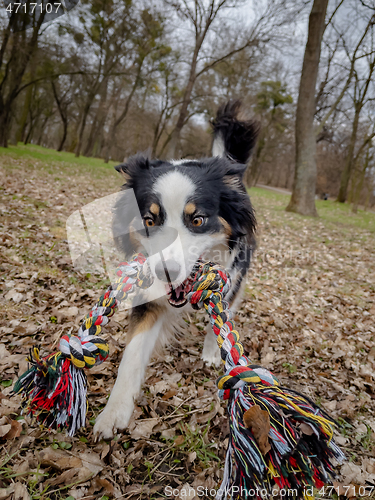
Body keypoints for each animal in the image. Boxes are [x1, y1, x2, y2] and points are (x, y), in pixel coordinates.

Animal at [92, 99, 260, 440]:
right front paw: (113, 412)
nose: (165, 273)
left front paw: (213, 351)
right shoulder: (149, 295)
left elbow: (220, 319)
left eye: (197, 220)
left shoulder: (230, 274)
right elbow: (132, 354)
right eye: (149, 219)